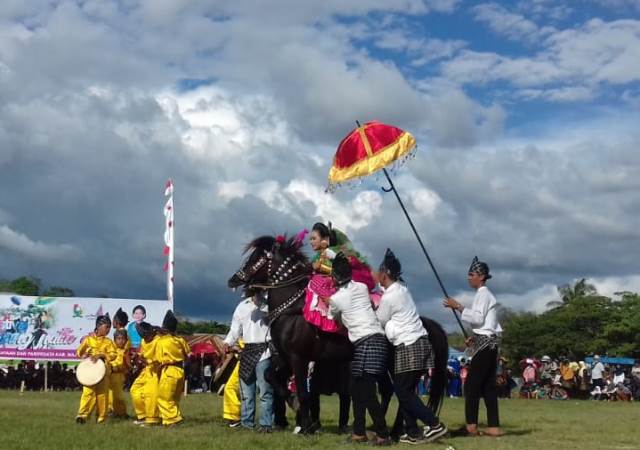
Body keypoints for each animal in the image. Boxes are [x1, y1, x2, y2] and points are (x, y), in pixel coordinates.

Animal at [230, 236, 450, 432]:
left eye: (257, 257)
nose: (233, 280)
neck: (292, 310)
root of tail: (422, 323)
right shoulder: (286, 357)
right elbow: (270, 376)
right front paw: (296, 409)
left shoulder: (299, 358)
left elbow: (303, 393)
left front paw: (306, 426)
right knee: (391, 391)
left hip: (394, 365)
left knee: (403, 395)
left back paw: (395, 430)